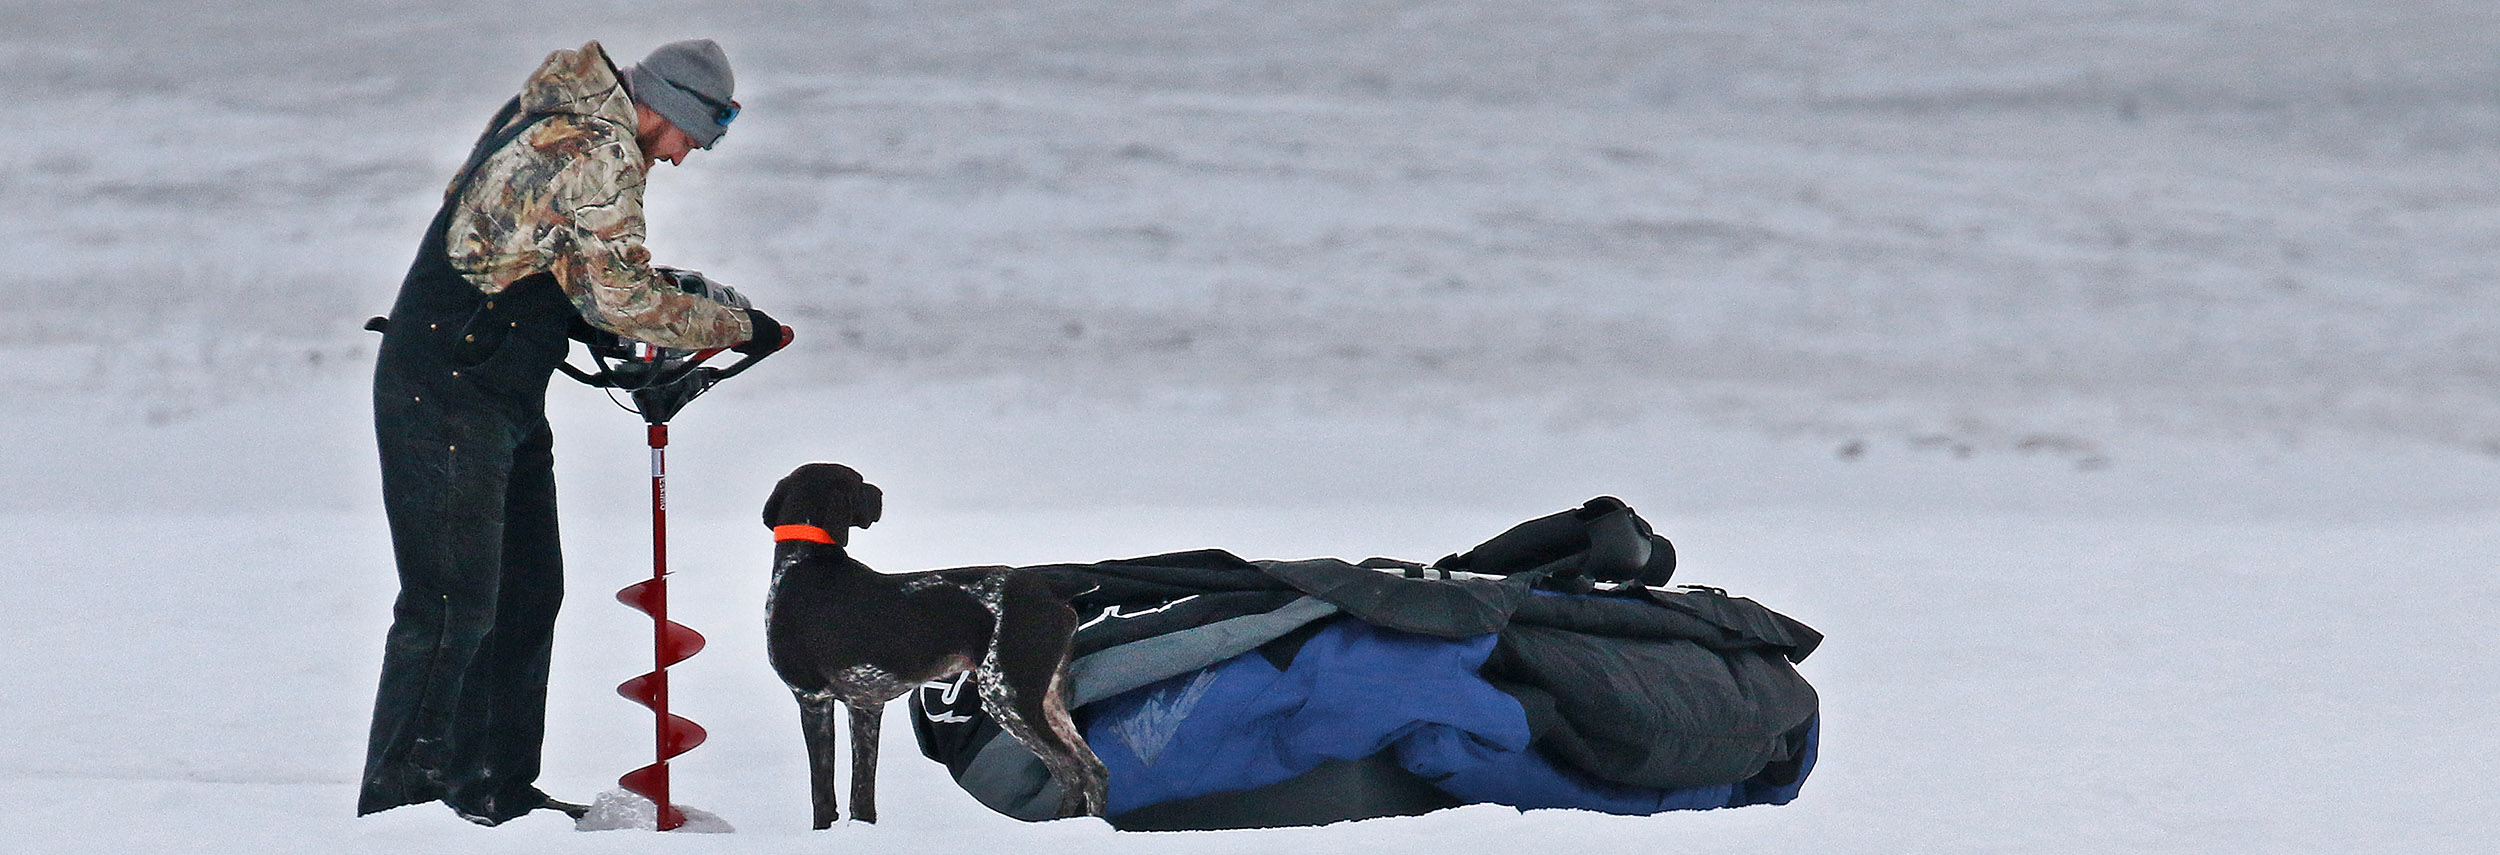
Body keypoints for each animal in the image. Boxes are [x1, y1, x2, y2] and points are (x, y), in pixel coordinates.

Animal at [760, 465, 1105, 825]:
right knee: (1095, 770)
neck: (805, 562)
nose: (880, 493)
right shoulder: (864, 706)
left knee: (1071, 772)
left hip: (1008, 697)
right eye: (860, 482)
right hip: (1047, 699)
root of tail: (1051, 589)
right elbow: (861, 794)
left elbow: (822, 792)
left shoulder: (812, 699)